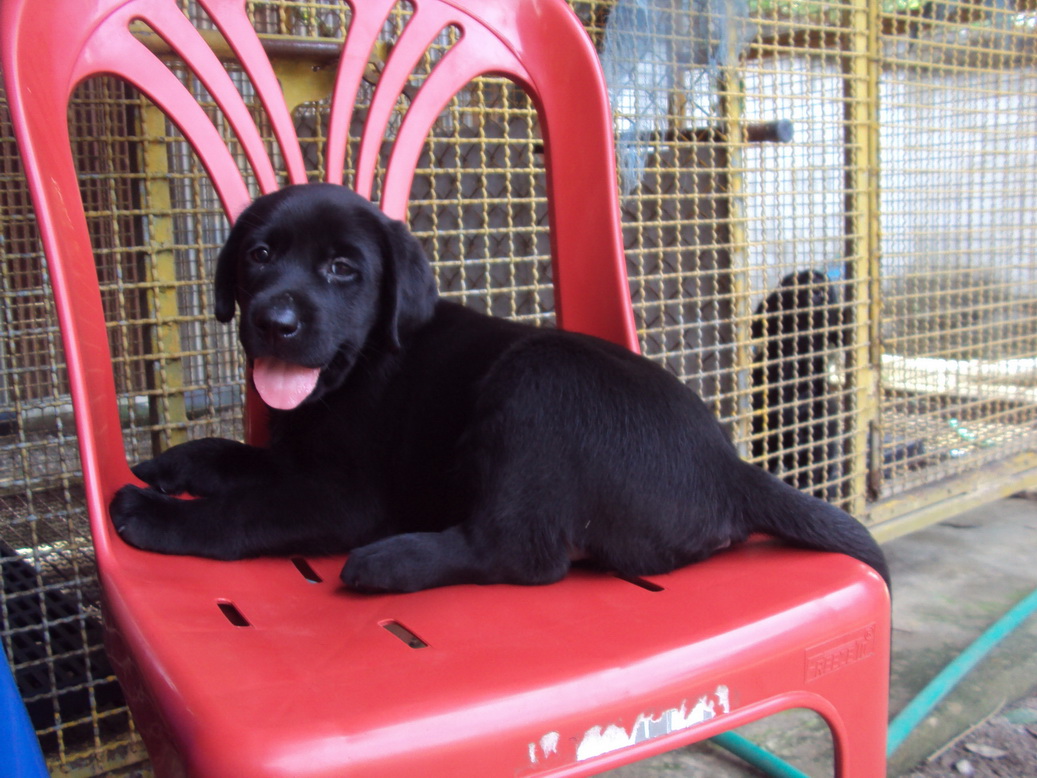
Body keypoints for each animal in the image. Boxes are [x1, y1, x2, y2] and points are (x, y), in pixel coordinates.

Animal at [109, 184, 888, 592]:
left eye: (342, 268)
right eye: (259, 254)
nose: (274, 321)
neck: (356, 369)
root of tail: (732, 469)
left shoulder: (342, 495)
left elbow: (243, 510)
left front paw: (154, 513)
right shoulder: (296, 456)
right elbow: (227, 454)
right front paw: (170, 464)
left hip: (539, 381)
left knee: (520, 552)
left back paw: (390, 562)